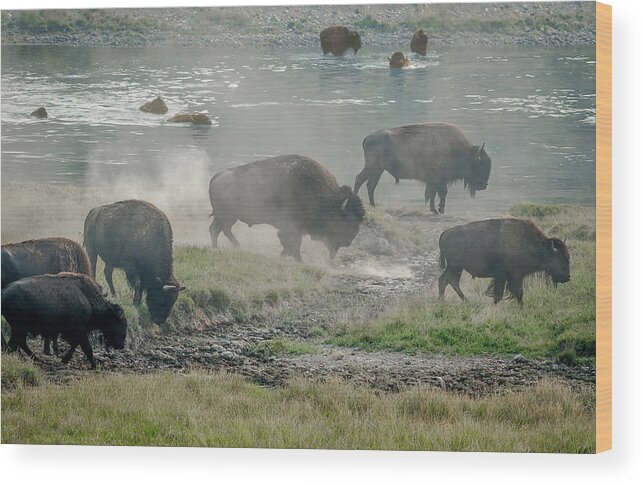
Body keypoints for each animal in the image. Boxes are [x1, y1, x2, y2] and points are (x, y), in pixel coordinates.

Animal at [209, 154, 364, 260]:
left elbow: (292, 244)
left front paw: (285, 256)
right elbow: (293, 243)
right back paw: (237, 246)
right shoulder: (291, 227)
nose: (349, 240)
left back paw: (218, 248)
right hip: (228, 217)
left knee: (215, 229)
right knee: (222, 230)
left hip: (226, 217)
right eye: (346, 219)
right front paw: (298, 260)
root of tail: (215, 177)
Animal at [354, 122, 490, 213]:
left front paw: (435, 210)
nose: (484, 186)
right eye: (480, 165)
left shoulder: (434, 181)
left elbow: (432, 194)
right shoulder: (438, 180)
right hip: (373, 167)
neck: (458, 150)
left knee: (370, 184)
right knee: (360, 179)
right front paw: (439, 210)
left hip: (378, 170)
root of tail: (368, 138)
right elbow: (439, 194)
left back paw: (373, 205)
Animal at [438, 219, 572, 306]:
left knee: (450, 281)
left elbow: (510, 293)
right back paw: (447, 302)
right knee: (445, 280)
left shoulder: (510, 277)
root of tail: (445, 233)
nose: (567, 277)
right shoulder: (509, 276)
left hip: (457, 268)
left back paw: (461, 301)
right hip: (454, 266)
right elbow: (512, 293)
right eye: (560, 258)